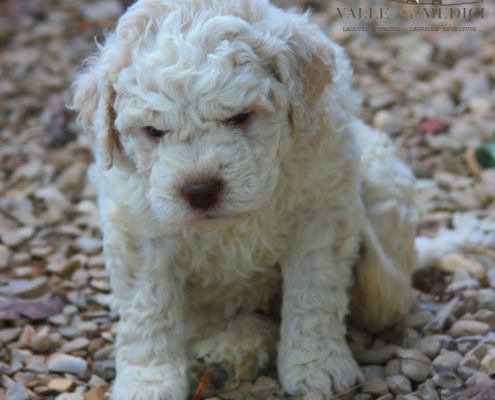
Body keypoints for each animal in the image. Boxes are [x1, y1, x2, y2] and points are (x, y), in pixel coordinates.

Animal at [73, 0, 420, 400]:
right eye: (154, 131)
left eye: (239, 116)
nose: (200, 190)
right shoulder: (139, 232)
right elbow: (149, 310)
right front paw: (148, 383)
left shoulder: (321, 212)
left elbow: (314, 293)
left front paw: (318, 364)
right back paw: (229, 353)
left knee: (385, 293)